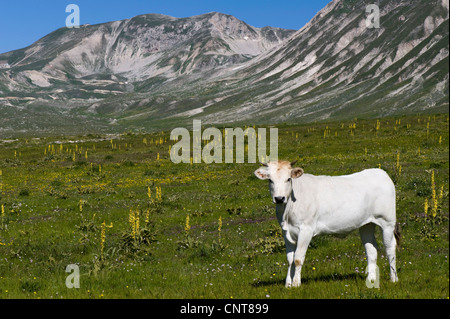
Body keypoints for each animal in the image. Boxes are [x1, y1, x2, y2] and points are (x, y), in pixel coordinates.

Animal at [255, 161, 400, 288]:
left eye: (288, 179)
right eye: (270, 180)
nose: (279, 198)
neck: (287, 212)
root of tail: (381, 172)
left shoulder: (306, 230)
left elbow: (298, 258)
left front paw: (296, 284)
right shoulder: (286, 232)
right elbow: (290, 259)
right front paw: (288, 284)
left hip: (387, 222)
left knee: (390, 248)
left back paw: (394, 278)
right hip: (366, 224)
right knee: (371, 249)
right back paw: (371, 279)